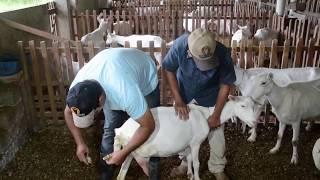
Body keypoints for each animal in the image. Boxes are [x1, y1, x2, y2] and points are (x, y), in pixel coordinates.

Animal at [112, 96, 258, 180]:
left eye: (253, 105)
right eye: (242, 106)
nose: (255, 121)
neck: (207, 114)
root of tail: (120, 131)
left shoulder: (188, 143)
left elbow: (189, 159)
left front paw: (189, 174)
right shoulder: (196, 143)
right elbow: (197, 163)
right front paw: (197, 178)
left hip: (127, 152)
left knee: (120, 175)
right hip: (136, 150)